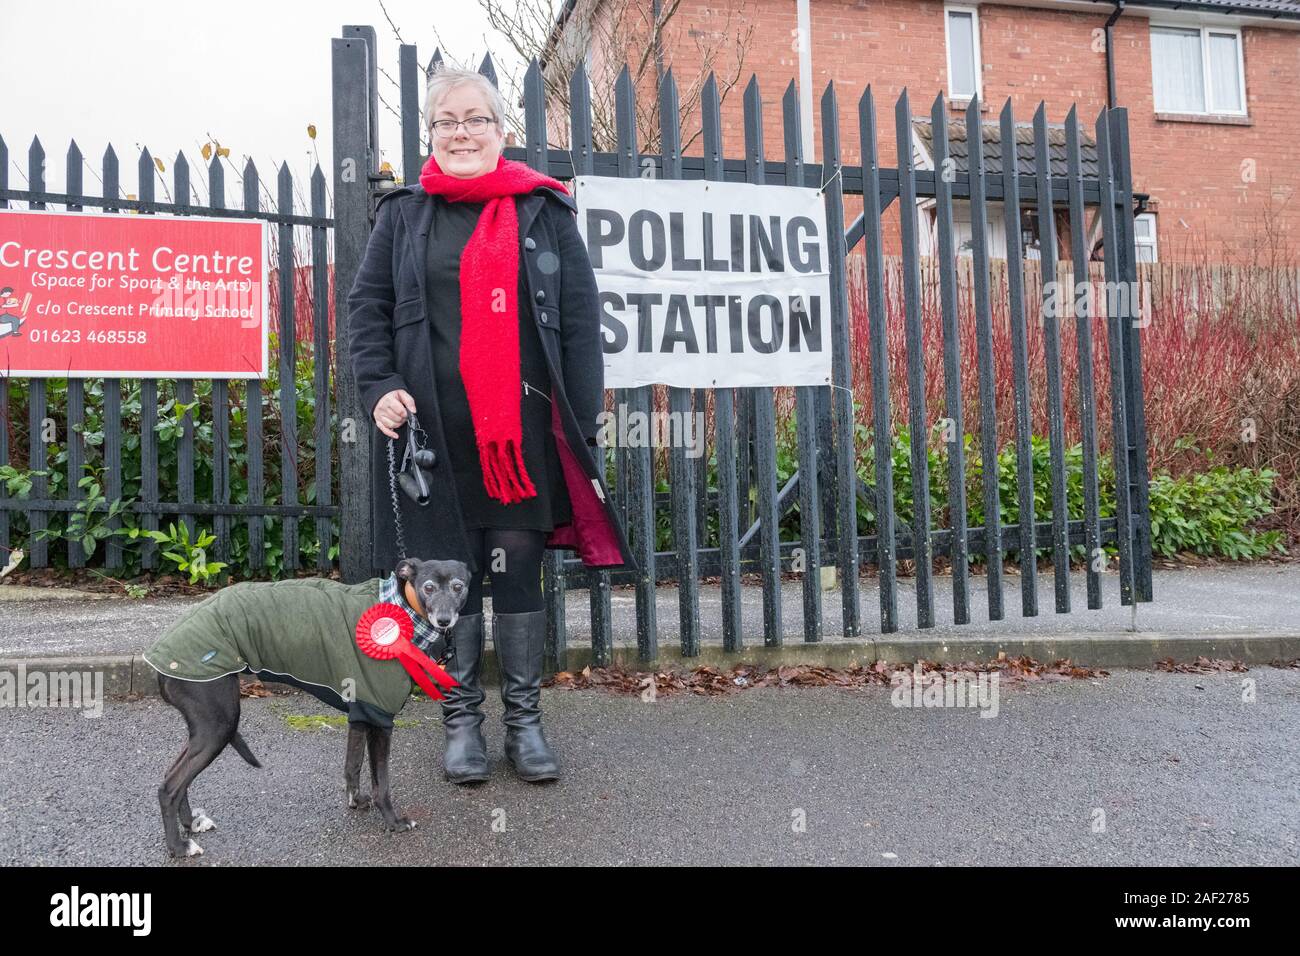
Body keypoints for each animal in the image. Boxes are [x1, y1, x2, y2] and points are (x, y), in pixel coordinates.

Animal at [148, 554, 473, 858]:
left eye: (458, 586)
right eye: (428, 587)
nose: (445, 620)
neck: (402, 609)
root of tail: (159, 655)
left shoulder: (361, 713)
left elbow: (352, 765)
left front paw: (356, 801)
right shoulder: (380, 719)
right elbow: (381, 781)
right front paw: (393, 822)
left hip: (206, 727)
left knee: (174, 776)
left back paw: (191, 824)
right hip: (219, 725)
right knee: (169, 787)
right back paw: (179, 847)